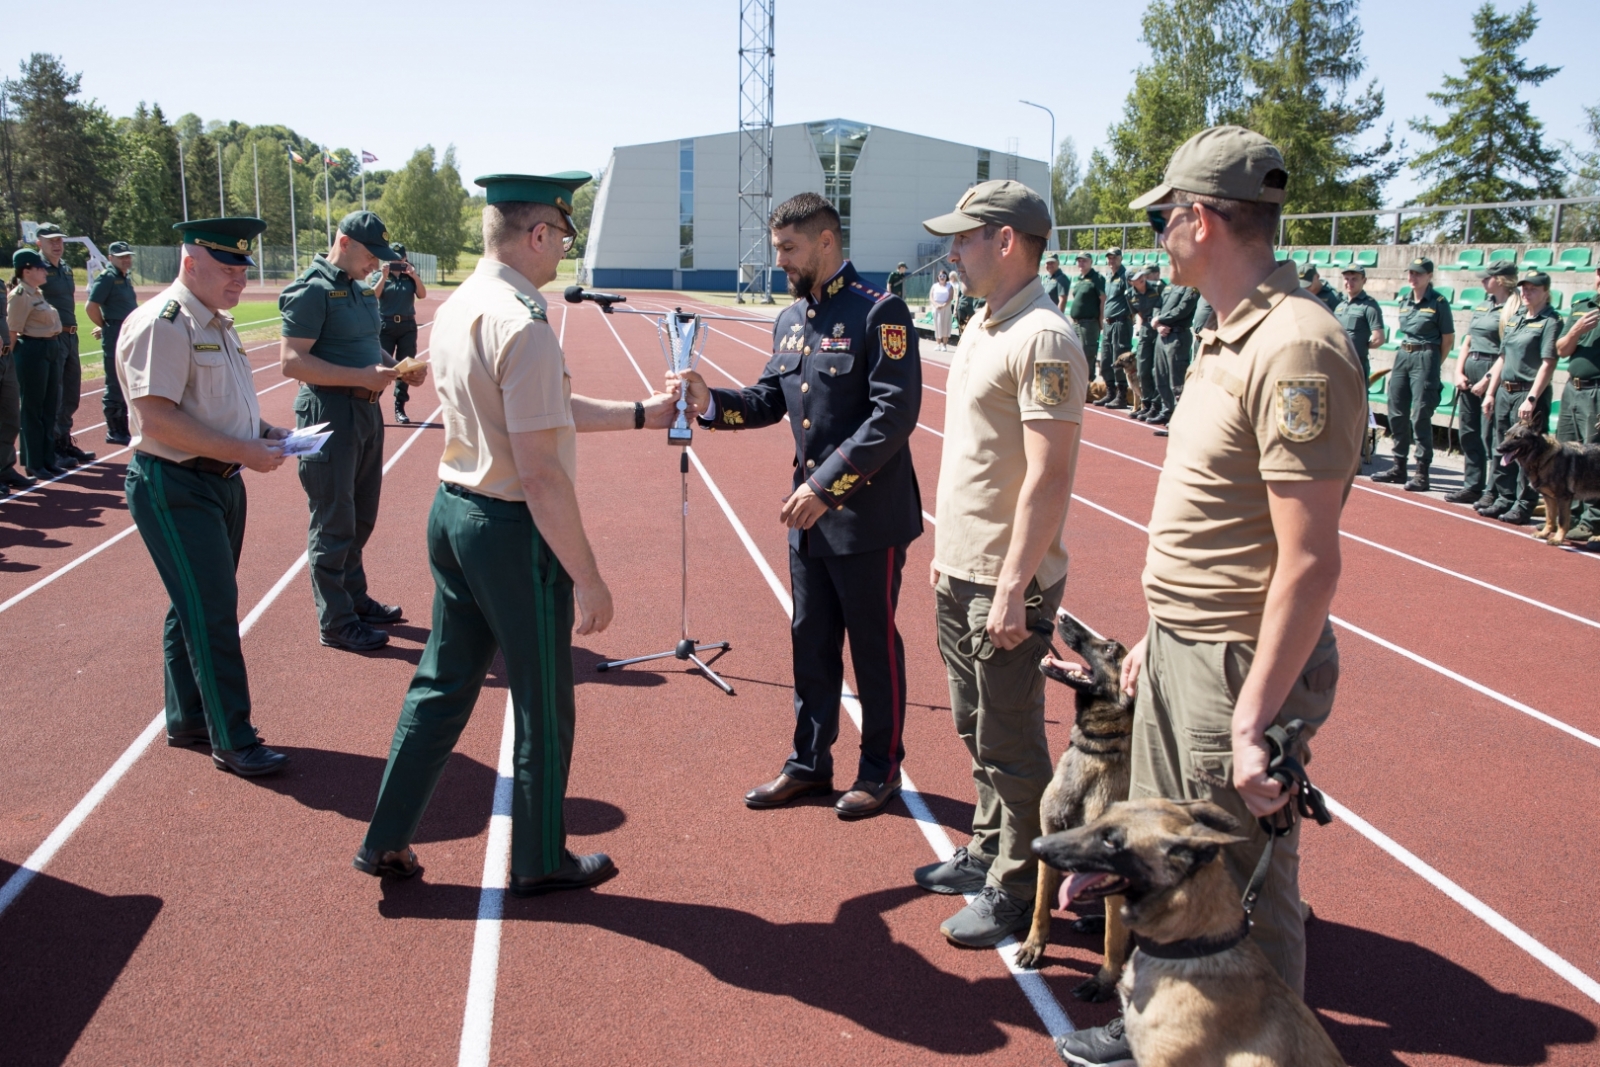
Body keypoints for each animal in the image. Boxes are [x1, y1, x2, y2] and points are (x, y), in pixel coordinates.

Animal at [1011, 607, 1139, 1004]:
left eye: (1111, 649)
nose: (1061, 617)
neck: (1095, 753)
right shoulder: (1048, 841)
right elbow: (1040, 905)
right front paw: (1034, 946)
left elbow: (1113, 942)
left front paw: (1104, 980)